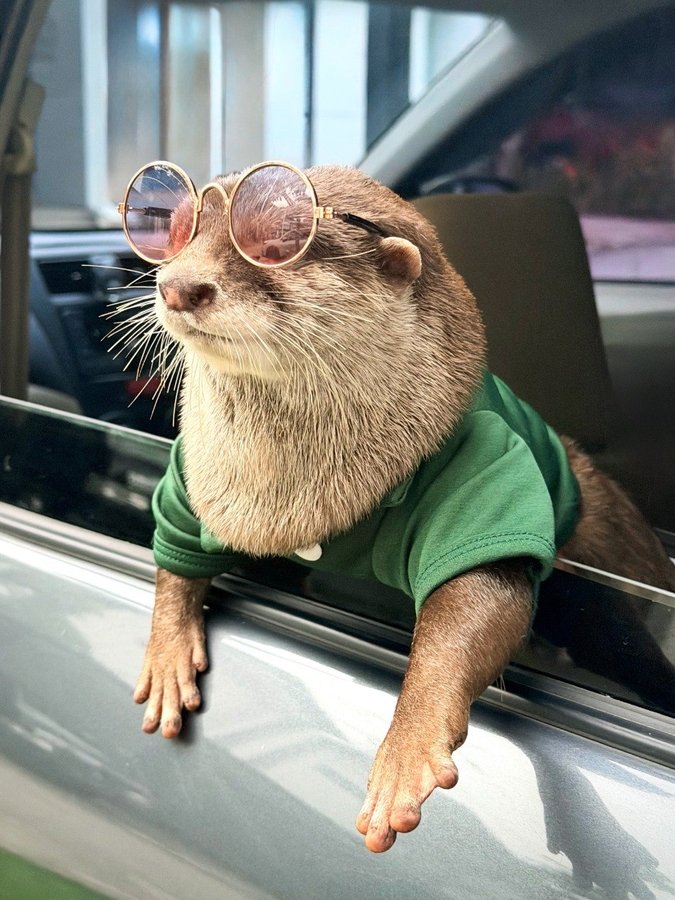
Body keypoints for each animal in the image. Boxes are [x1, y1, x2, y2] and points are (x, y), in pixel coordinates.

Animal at [121, 163, 675, 855]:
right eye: (173, 229)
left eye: (275, 240)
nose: (177, 285)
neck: (300, 500)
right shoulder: (195, 473)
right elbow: (173, 550)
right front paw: (166, 654)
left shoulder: (484, 468)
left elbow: (469, 607)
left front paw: (404, 754)